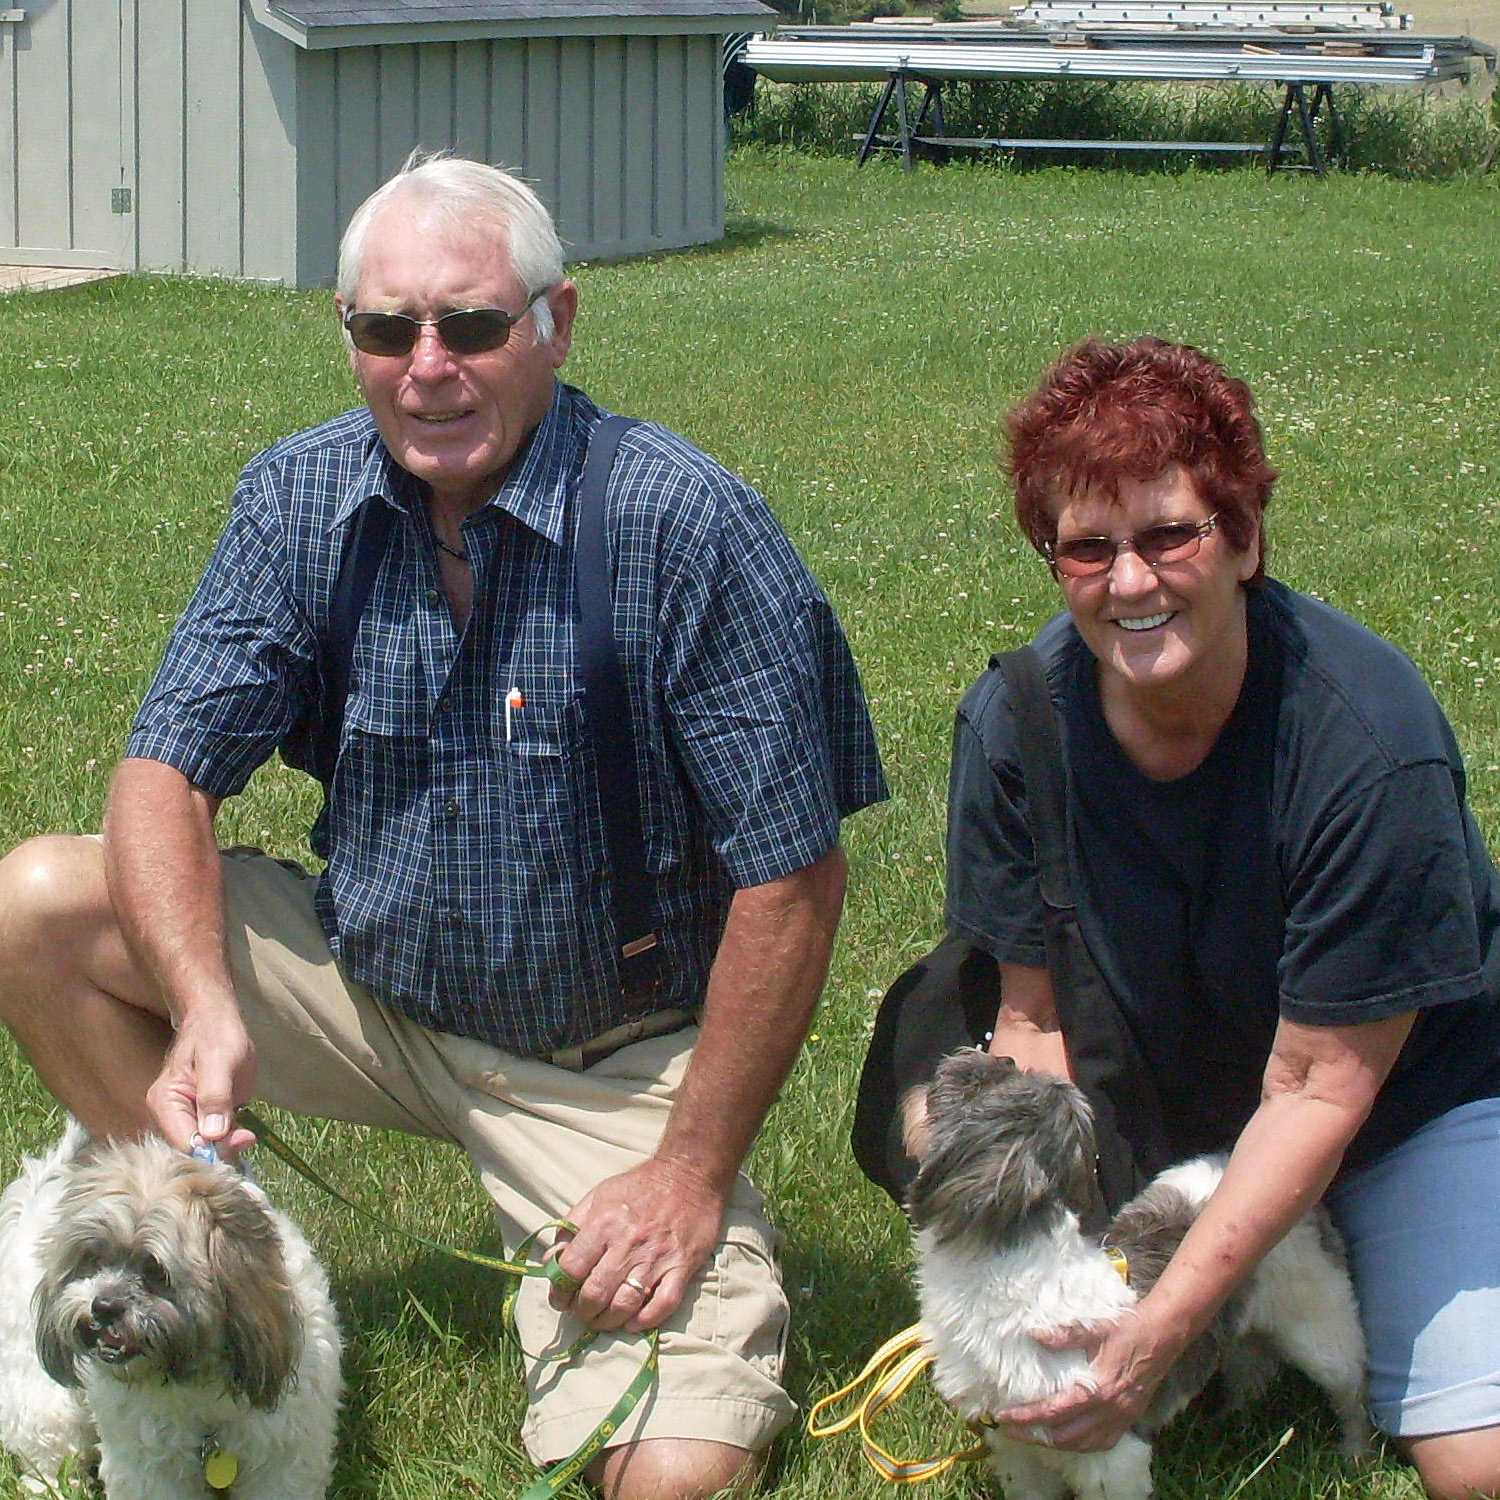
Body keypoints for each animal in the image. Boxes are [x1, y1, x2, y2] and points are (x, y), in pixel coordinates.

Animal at [0, 1128, 340, 1500]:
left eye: (155, 1271)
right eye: (93, 1259)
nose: (103, 1306)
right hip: (43, 1396)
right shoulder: (148, 1465)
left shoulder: (283, 1455)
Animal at [900, 1050, 1374, 1500]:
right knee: (1250, 1368)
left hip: (1321, 1327)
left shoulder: (1108, 1453)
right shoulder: (1018, 1450)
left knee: (1351, 1389)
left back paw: (1356, 1453)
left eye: (962, 1083)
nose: (999, 1055)